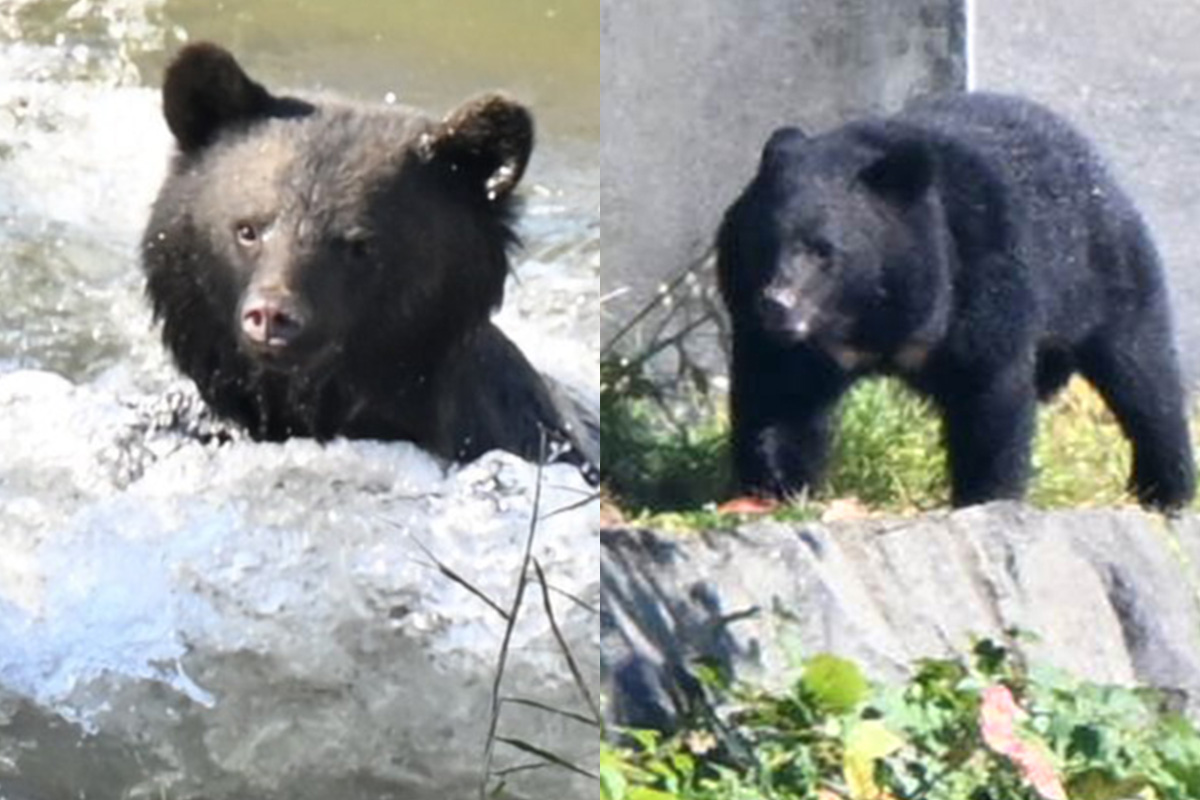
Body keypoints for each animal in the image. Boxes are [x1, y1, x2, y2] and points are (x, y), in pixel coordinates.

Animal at [716, 91, 1195, 510]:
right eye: (761, 243)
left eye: (823, 250)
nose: (776, 304)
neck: (870, 317)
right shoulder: (790, 343)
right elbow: (779, 399)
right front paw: (778, 491)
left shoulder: (981, 274)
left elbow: (988, 390)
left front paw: (987, 495)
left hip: (1102, 269)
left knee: (1141, 371)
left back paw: (1166, 488)